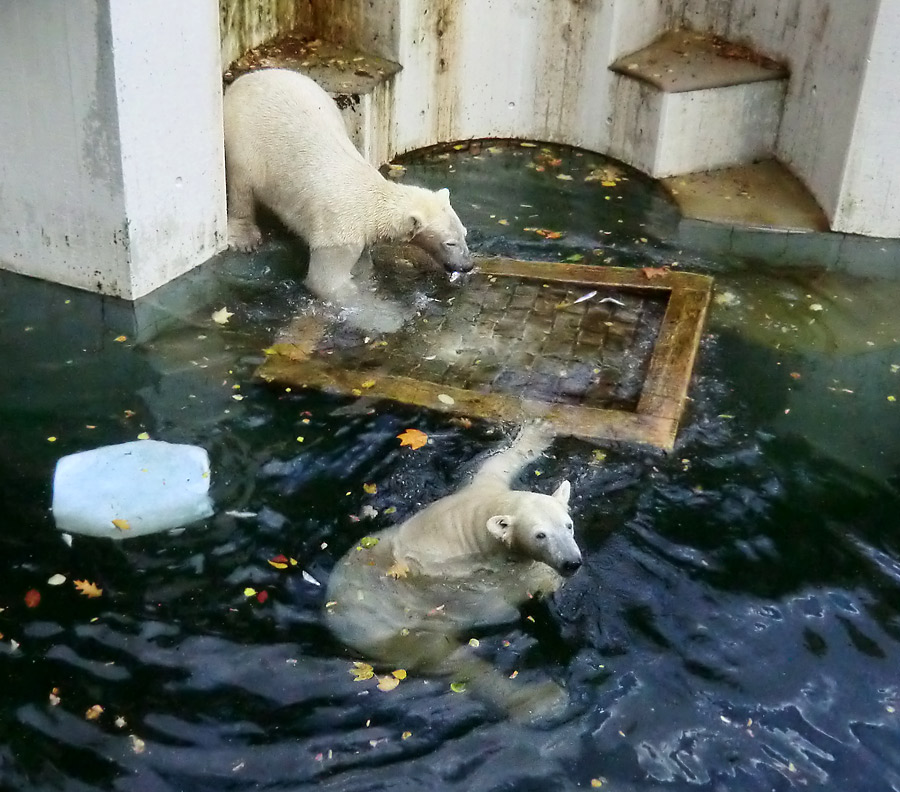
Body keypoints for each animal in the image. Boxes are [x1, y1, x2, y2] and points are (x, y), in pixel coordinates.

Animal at [223, 67, 472, 304]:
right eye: (449, 243)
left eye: (464, 233)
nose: (467, 265)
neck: (372, 202)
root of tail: (246, 78)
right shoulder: (338, 233)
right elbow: (327, 281)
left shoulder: (361, 235)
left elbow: (361, 266)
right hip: (244, 139)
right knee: (241, 185)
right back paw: (245, 238)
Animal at [324, 424, 584, 720]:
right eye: (540, 535)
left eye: (568, 525)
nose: (571, 562)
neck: (479, 522)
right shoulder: (475, 573)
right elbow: (506, 598)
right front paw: (546, 581)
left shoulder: (483, 489)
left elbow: (497, 463)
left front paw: (539, 431)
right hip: (389, 628)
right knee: (452, 659)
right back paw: (542, 699)